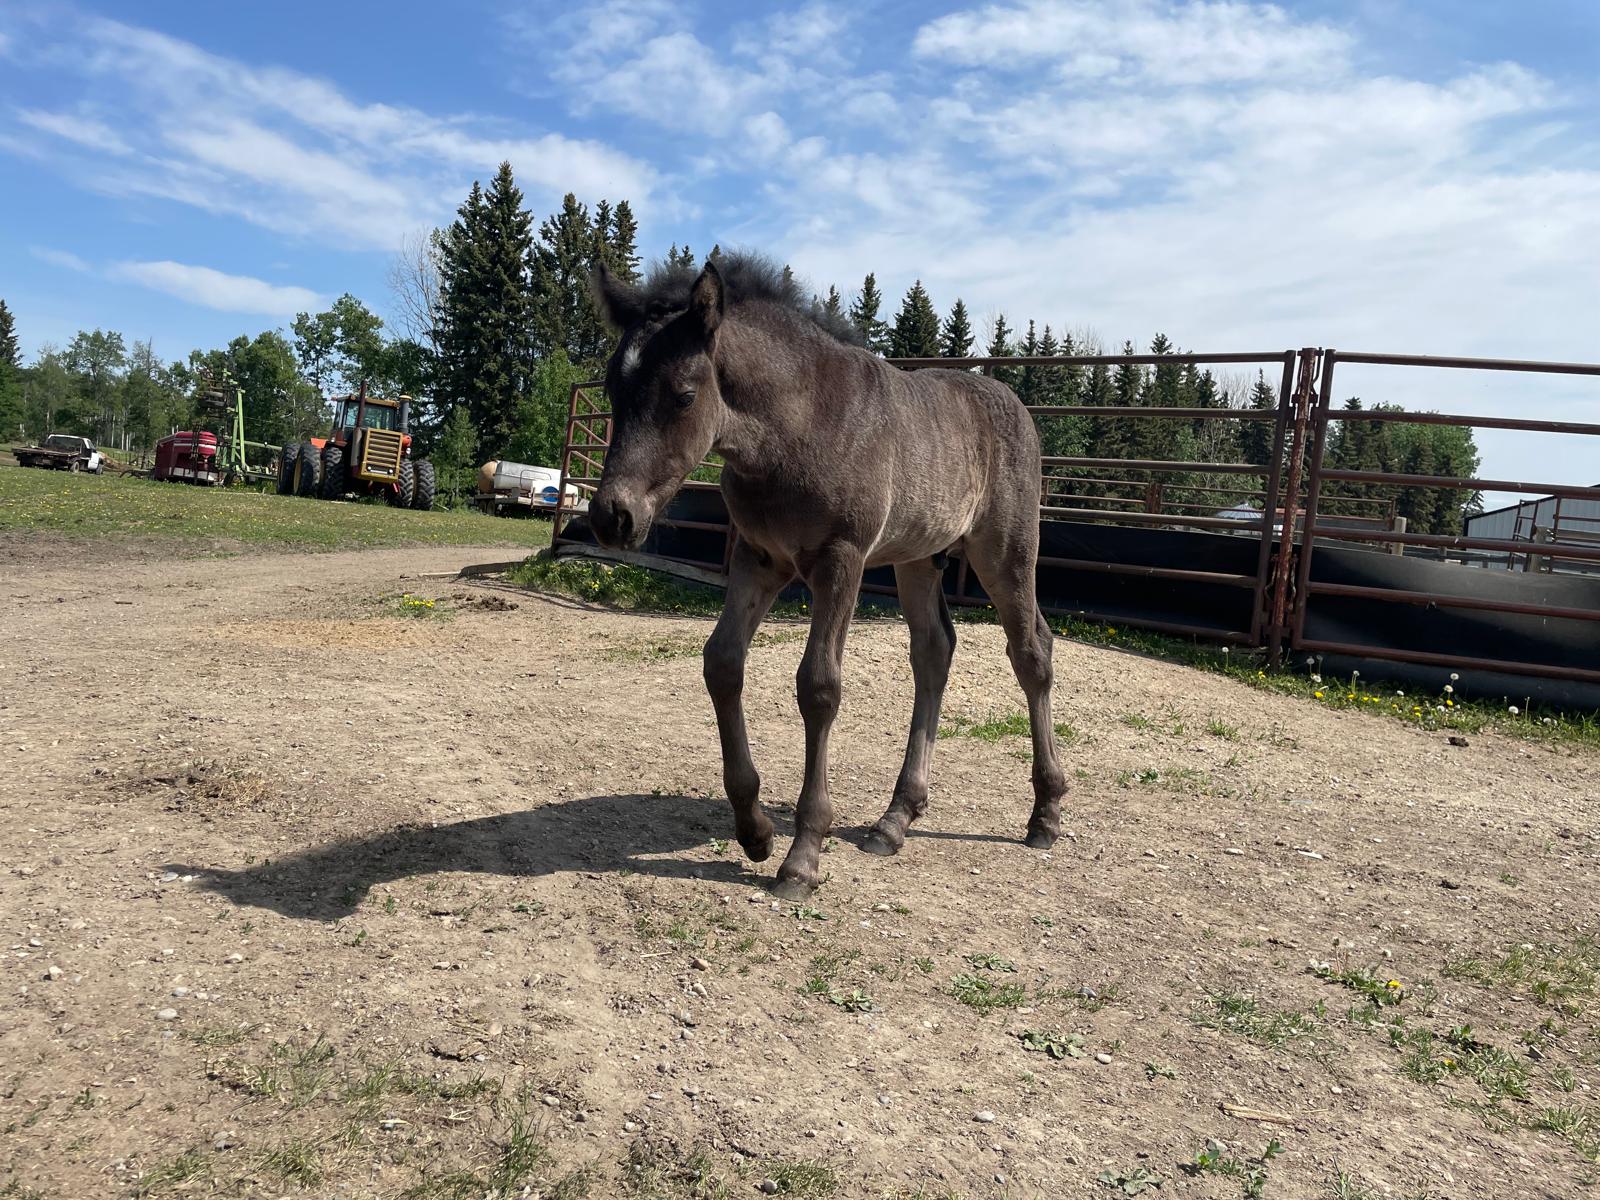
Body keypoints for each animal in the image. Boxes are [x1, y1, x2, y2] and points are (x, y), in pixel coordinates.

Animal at [587, 253, 1065, 899]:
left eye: (684, 396)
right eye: (613, 389)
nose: (612, 517)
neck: (799, 423)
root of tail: (1014, 404)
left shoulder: (843, 560)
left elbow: (818, 686)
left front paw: (803, 854)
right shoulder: (759, 559)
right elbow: (722, 664)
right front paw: (755, 829)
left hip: (1005, 553)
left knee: (1031, 651)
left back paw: (1045, 813)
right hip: (918, 558)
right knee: (934, 651)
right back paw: (895, 819)